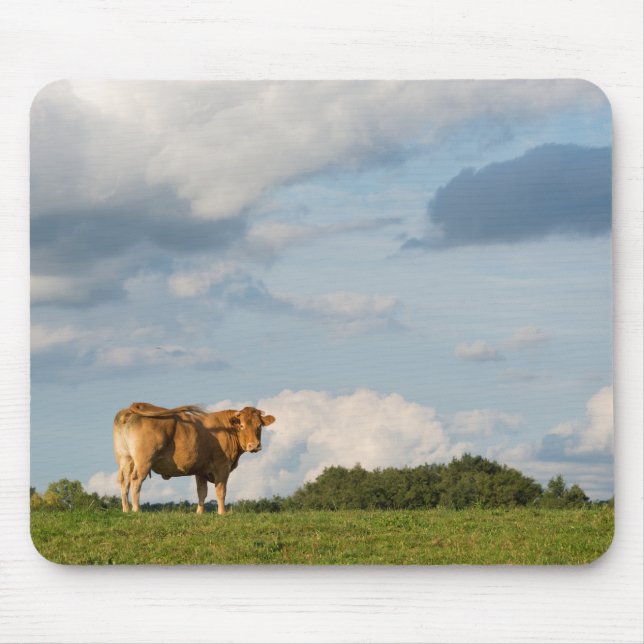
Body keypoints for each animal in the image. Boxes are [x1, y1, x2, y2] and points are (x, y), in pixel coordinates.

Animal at [113, 402, 275, 514]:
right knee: (135, 480)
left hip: (126, 458)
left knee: (124, 481)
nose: (254, 445)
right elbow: (221, 491)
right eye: (241, 425)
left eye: (259, 426)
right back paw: (136, 509)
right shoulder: (222, 467)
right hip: (144, 461)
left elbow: (202, 492)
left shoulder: (201, 470)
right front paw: (222, 513)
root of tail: (128, 410)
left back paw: (126, 509)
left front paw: (199, 513)